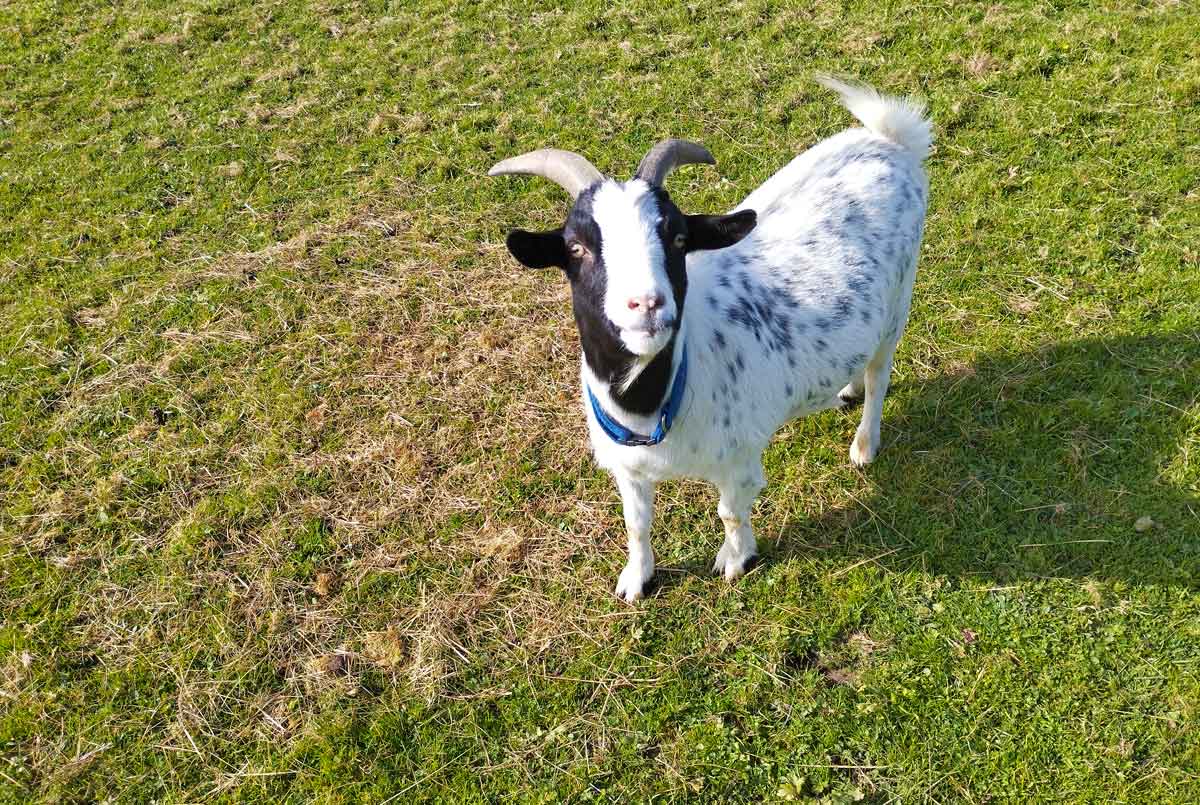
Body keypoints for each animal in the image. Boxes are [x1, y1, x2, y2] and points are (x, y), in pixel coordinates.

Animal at [489, 78, 932, 602]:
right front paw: (635, 580)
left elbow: (730, 512)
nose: (646, 303)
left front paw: (735, 561)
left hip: (898, 302)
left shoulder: (738, 459)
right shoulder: (627, 470)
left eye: (679, 238)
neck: (650, 405)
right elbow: (636, 524)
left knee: (881, 376)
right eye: (576, 247)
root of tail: (890, 140)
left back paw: (864, 445)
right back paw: (847, 389)